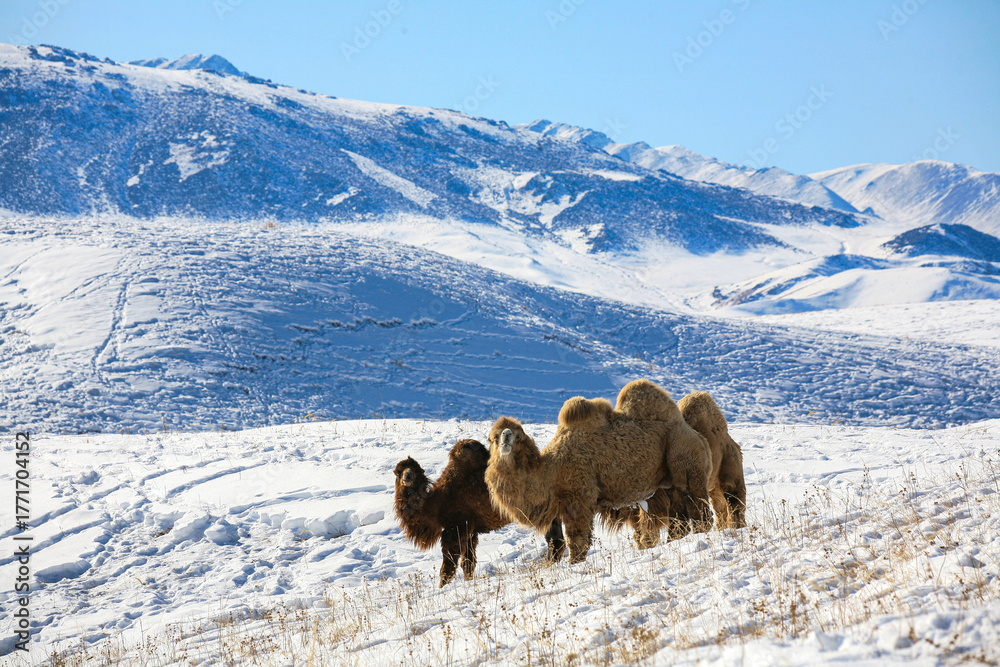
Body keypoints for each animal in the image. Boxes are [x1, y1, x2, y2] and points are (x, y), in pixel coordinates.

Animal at [393, 439, 565, 586]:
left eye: (417, 471)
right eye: (398, 472)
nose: (408, 476)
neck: (438, 503)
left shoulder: (455, 529)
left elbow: (447, 568)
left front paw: (442, 589)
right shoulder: (470, 531)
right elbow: (468, 564)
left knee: (555, 540)